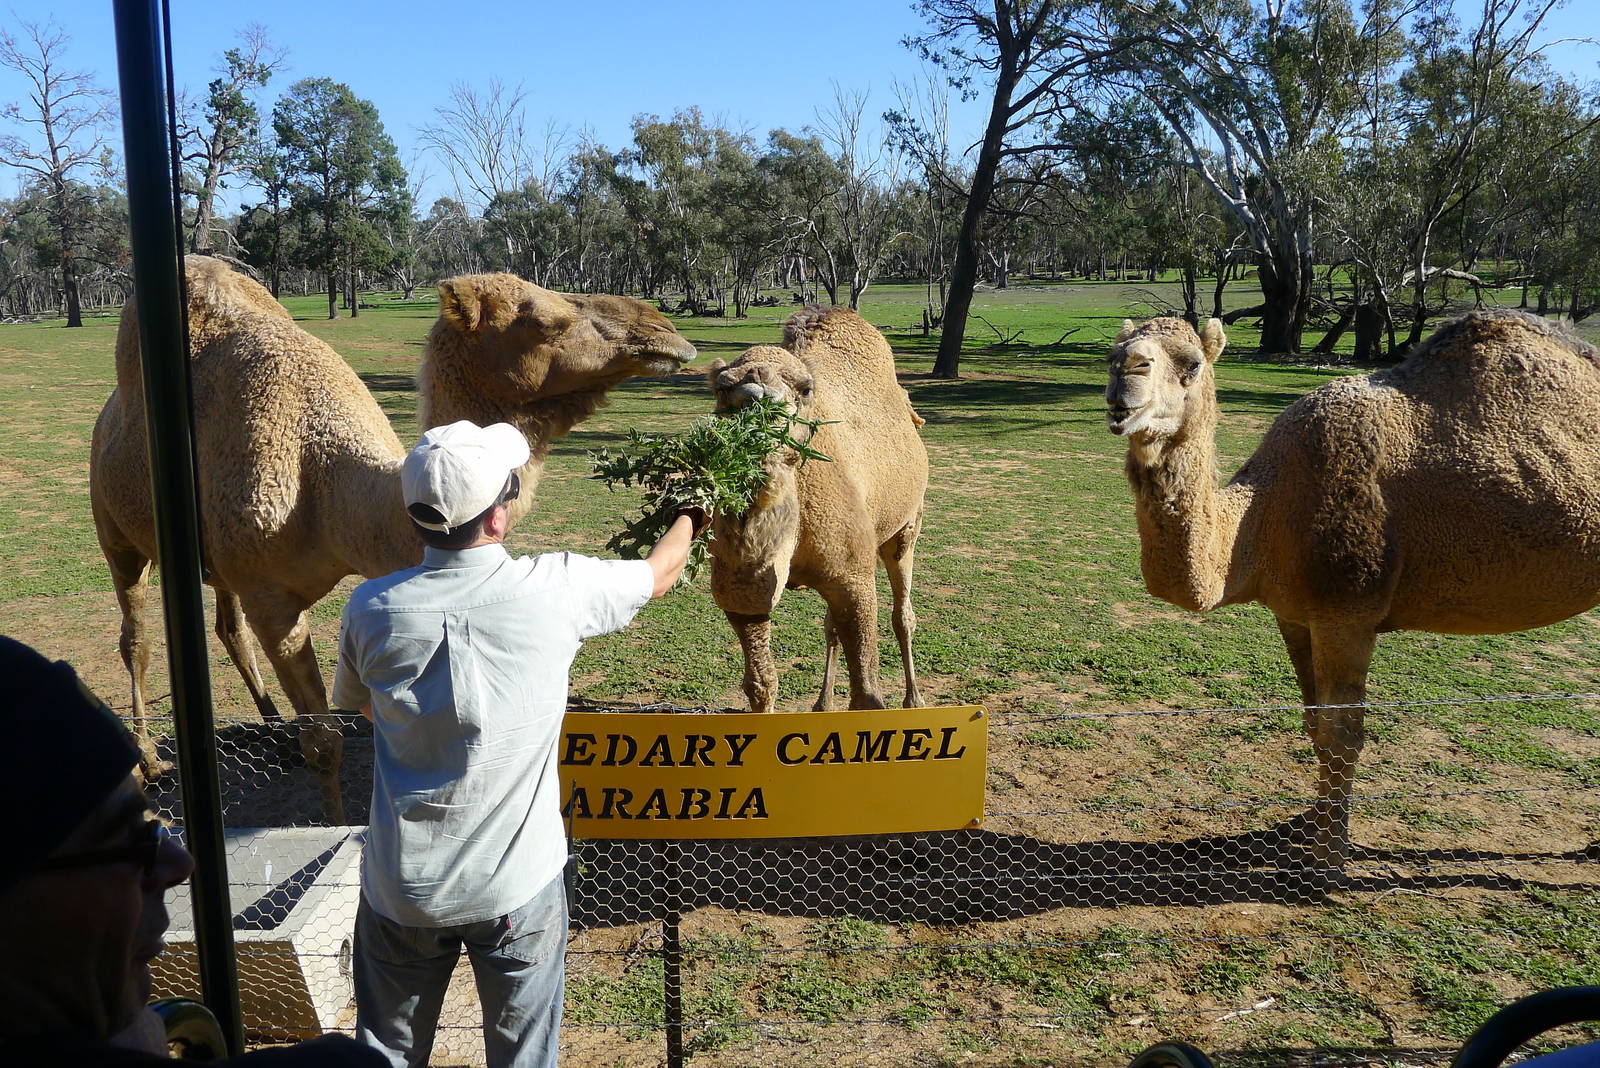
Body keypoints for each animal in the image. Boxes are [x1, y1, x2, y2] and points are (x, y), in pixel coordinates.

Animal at [91, 257, 696, 822]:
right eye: (545, 319)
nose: (663, 329)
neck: (329, 489)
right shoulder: (272, 599)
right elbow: (325, 743)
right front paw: (334, 830)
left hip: (212, 559)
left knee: (227, 627)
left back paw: (272, 733)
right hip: (116, 532)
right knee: (136, 634)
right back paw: (151, 761)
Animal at [706, 305, 929, 714]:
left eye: (805, 389)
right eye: (721, 387)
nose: (756, 394)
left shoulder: (853, 577)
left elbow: (867, 695)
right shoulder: (742, 598)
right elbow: (761, 685)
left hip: (908, 524)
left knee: (903, 614)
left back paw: (914, 699)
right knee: (831, 627)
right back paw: (823, 702)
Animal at [1104, 310, 1600, 870]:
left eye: (1190, 365)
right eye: (1112, 352)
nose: (1126, 370)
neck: (1262, 516)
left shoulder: (1348, 613)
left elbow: (1343, 733)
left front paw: (1330, 856)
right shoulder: (1294, 613)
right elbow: (1314, 726)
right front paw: (1312, 825)